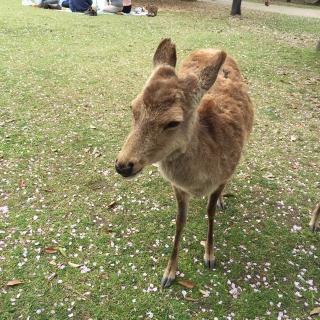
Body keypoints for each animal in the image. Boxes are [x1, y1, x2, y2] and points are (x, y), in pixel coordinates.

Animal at [116, 38, 254, 288]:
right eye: (133, 107)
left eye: (173, 122)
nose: (123, 165)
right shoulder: (177, 187)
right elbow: (180, 222)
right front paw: (169, 273)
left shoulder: (222, 175)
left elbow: (210, 211)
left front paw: (209, 256)